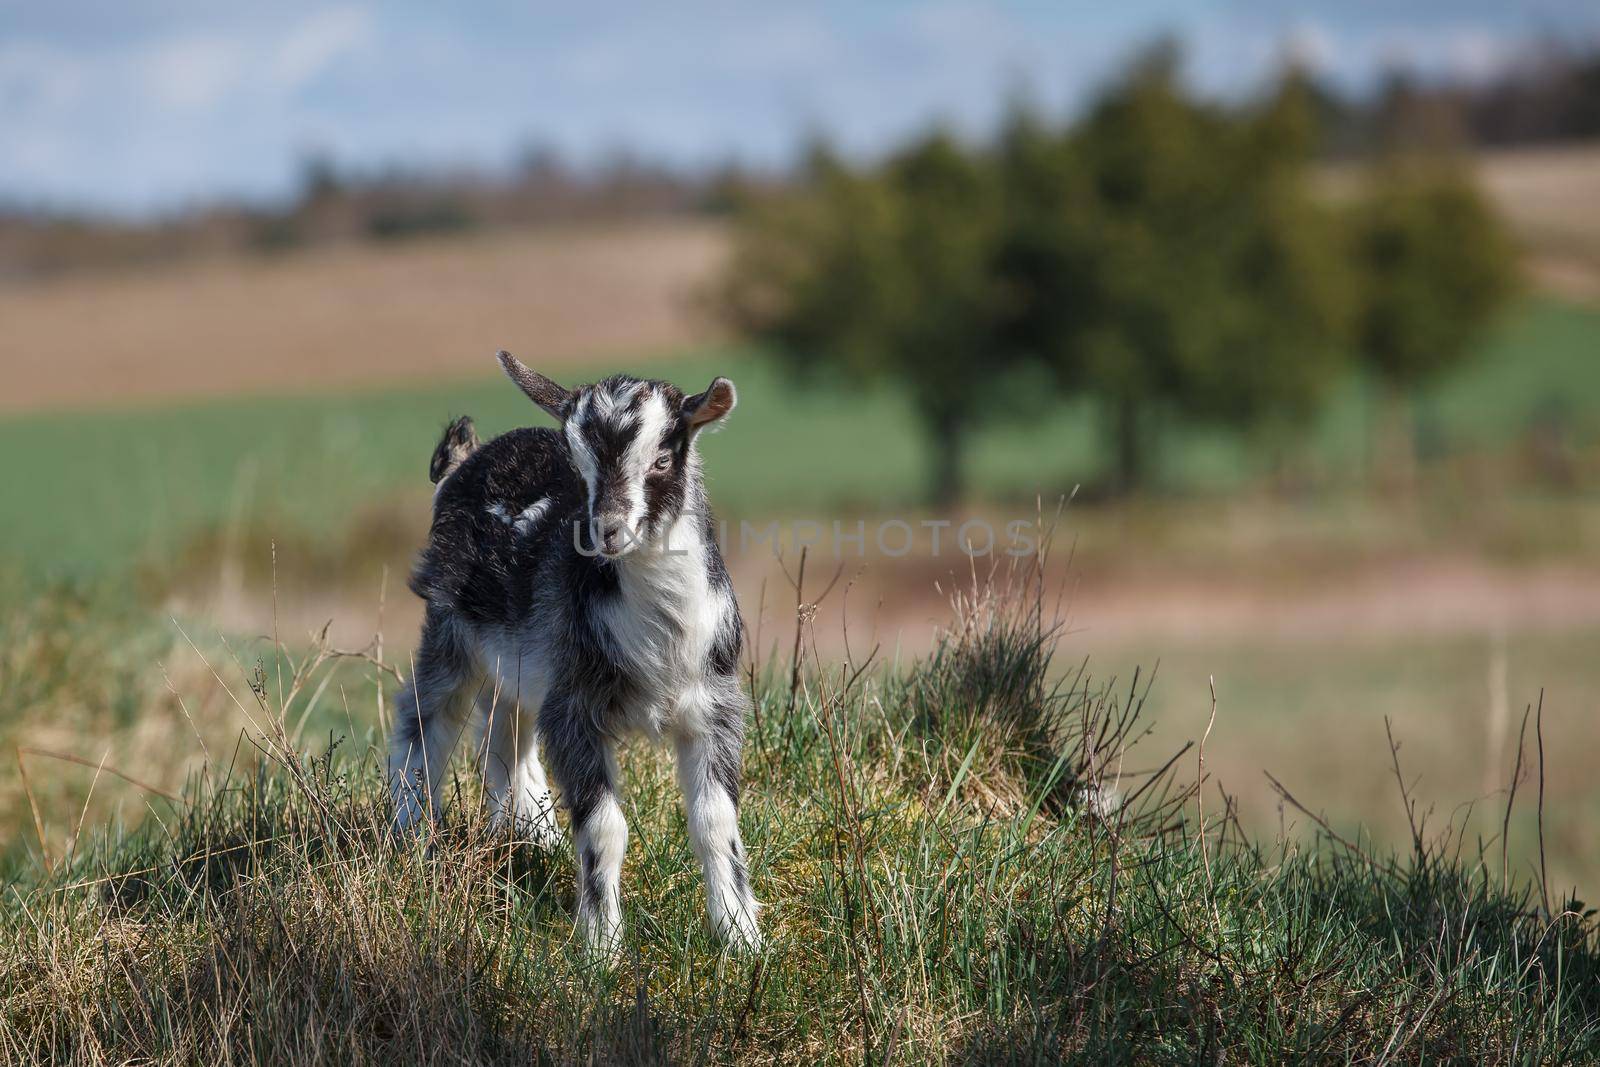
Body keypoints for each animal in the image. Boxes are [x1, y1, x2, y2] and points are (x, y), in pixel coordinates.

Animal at [390, 350, 758, 953]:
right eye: (577, 464)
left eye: (662, 459)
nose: (604, 532)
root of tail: (466, 461)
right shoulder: (576, 706)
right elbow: (606, 827)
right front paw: (601, 946)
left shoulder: (713, 705)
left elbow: (715, 821)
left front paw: (741, 937)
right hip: (450, 629)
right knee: (423, 719)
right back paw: (413, 834)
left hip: (519, 658)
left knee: (503, 731)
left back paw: (534, 835)